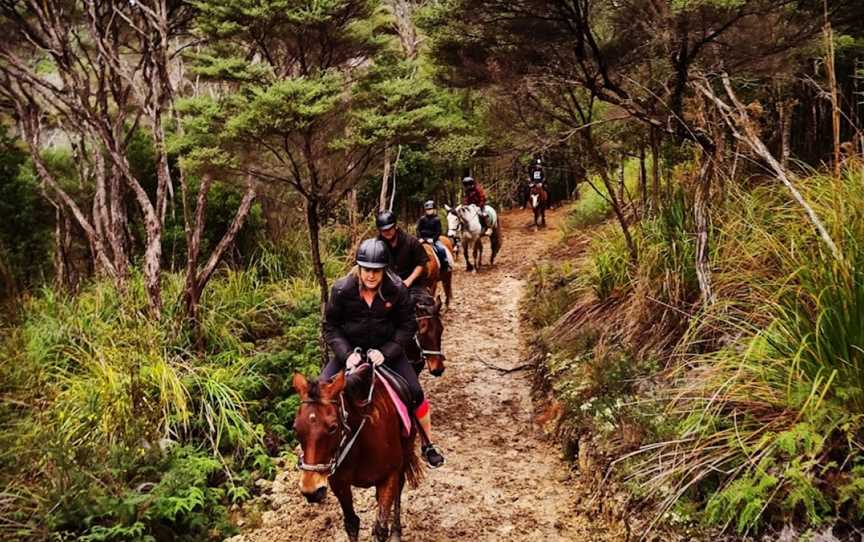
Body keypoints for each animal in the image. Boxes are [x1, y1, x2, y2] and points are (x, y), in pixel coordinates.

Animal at [294, 370, 422, 542]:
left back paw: (396, 531)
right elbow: (352, 524)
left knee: (398, 489)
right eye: (295, 427)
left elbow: (380, 528)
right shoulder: (339, 483)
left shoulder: (389, 476)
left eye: (333, 427)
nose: (311, 491)